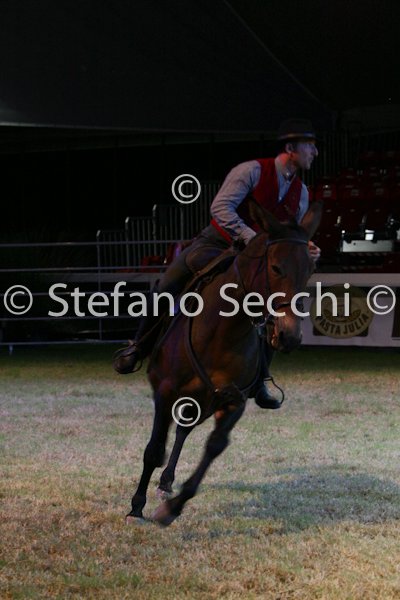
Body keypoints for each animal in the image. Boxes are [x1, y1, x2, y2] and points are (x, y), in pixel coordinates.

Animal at [126, 199, 322, 526]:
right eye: (276, 267)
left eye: (309, 270)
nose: (290, 335)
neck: (219, 332)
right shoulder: (165, 392)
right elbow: (154, 450)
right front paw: (136, 507)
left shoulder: (232, 401)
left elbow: (214, 445)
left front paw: (173, 507)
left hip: (203, 401)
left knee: (184, 430)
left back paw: (166, 483)